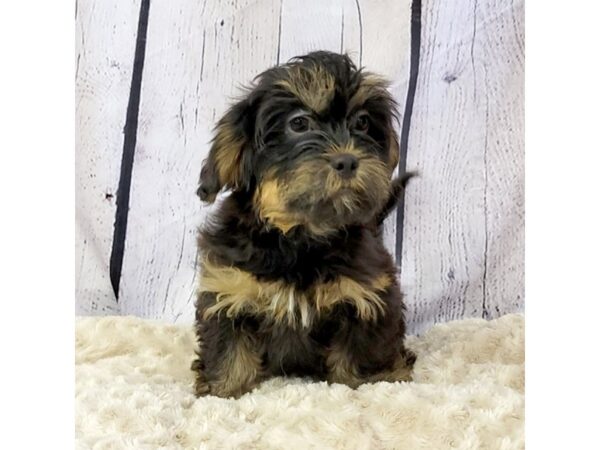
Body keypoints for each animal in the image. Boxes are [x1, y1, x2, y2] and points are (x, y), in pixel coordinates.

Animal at [191, 51, 412, 400]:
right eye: (298, 124)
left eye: (362, 122)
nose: (347, 160)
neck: (301, 236)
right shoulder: (228, 286)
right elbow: (229, 345)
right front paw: (224, 389)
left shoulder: (367, 295)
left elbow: (360, 349)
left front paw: (365, 384)